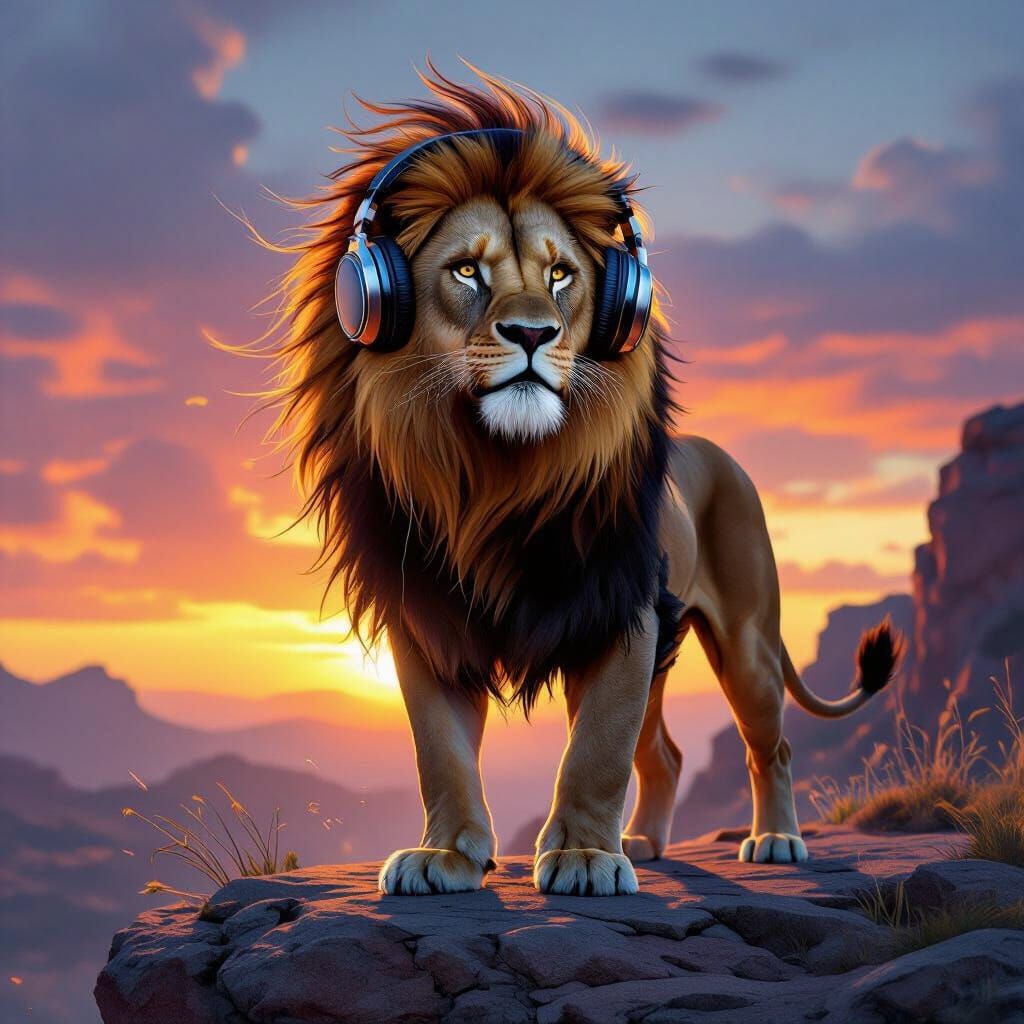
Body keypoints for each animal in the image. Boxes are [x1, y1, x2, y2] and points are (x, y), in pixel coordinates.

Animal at [253, 65, 899, 897]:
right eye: (467, 270)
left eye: (561, 275)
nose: (533, 333)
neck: (494, 470)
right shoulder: (428, 618)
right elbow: (442, 752)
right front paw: (446, 854)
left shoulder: (620, 612)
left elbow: (597, 750)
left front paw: (586, 858)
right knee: (667, 754)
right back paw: (648, 843)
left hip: (748, 642)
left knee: (770, 745)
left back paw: (776, 841)